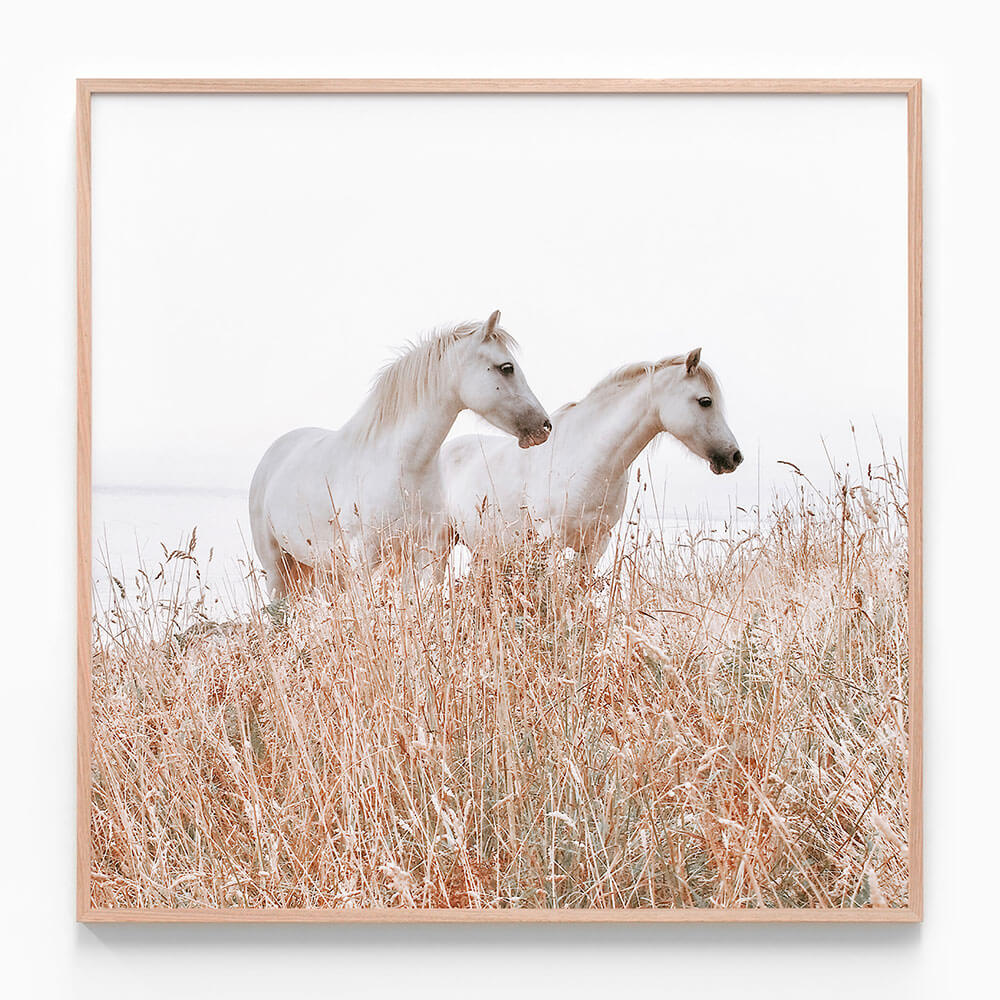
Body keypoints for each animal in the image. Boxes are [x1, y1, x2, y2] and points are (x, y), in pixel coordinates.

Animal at [249, 311, 551, 598]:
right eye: (507, 368)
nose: (545, 426)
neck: (401, 464)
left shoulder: (420, 554)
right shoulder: (362, 561)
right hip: (276, 570)